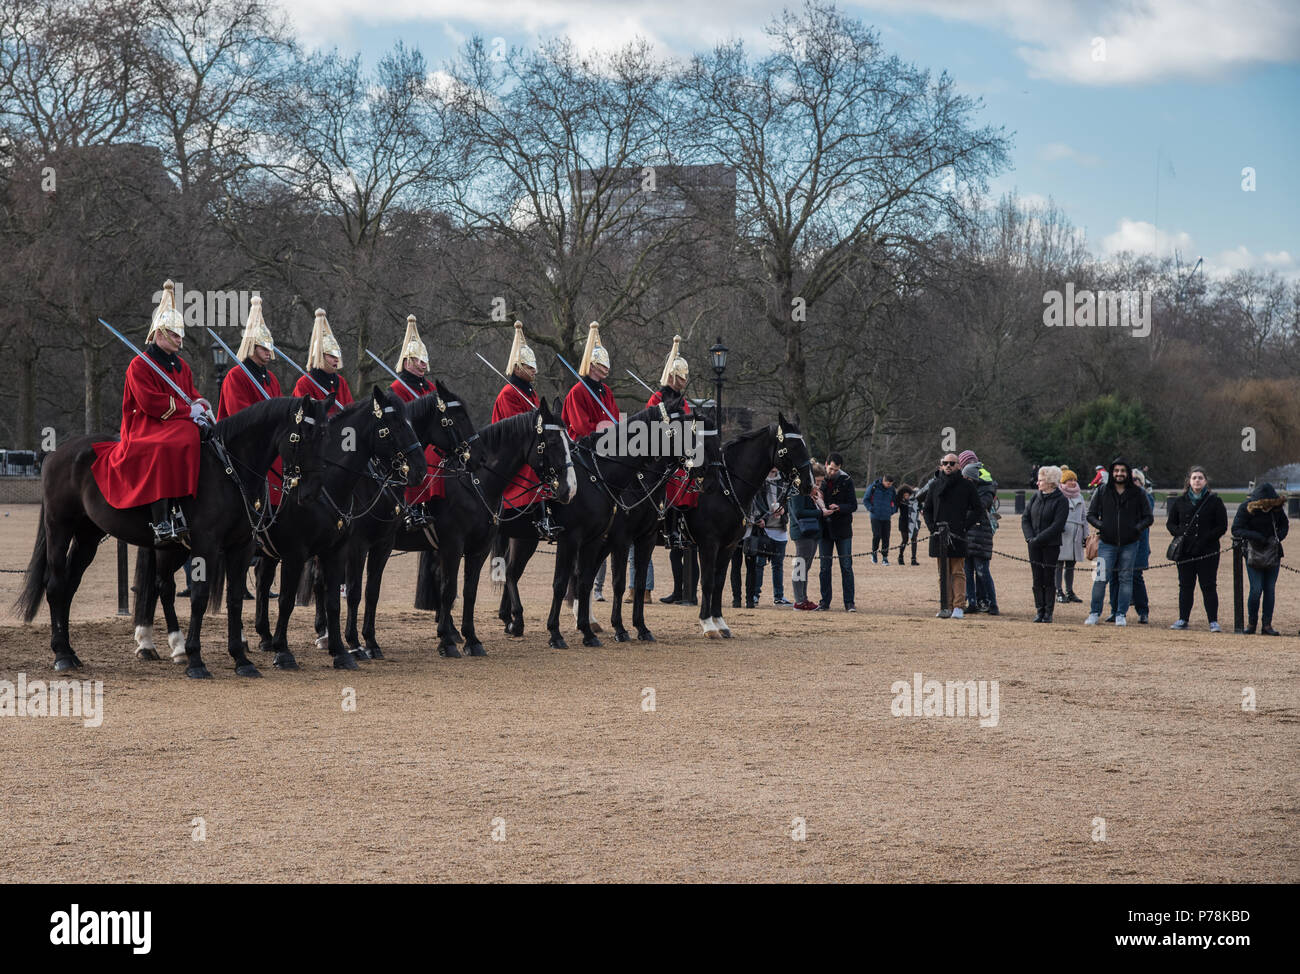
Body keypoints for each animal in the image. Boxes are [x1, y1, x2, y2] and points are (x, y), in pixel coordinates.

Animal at [14, 390, 327, 676]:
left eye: (324, 435)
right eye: (302, 436)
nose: (311, 492)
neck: (230, 468)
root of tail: (55, 452)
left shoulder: (242, 546)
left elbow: (235, 598)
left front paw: (240, 659)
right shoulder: (207, 545)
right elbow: (200, 597)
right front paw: (196, 660)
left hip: (90, 537)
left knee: (75, 586)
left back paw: (74, 651)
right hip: (60, 528)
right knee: (56, 585)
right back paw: (62, 655)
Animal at [248, 384, 421, 671]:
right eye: (394, 423)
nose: (420, 468)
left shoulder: (369, 547)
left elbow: (360, 594)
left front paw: (357, 644)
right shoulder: (333, 549)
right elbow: (340, 593)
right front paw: (353, 644)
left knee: (262, 579)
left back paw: (264, 636)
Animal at [493, 395, 691, 644]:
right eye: (678, 426)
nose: (695, 460)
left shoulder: (626, 539)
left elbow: (596, 581)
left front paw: (635, 627)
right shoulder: (603, 539)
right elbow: (588, 583)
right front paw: (614, 628)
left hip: (523, 536)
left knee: (511, 571)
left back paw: (511, 620)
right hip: (523, 539)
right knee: (511, 572)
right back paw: (516, 619)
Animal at [686, 416, 806, 637]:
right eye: (793, 447)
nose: (809, 483)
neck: (725, 487)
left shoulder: (728, 545)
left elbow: (718, 582)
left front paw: (720, 622)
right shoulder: (708, 544)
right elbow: (707, 582)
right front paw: (707, 624)